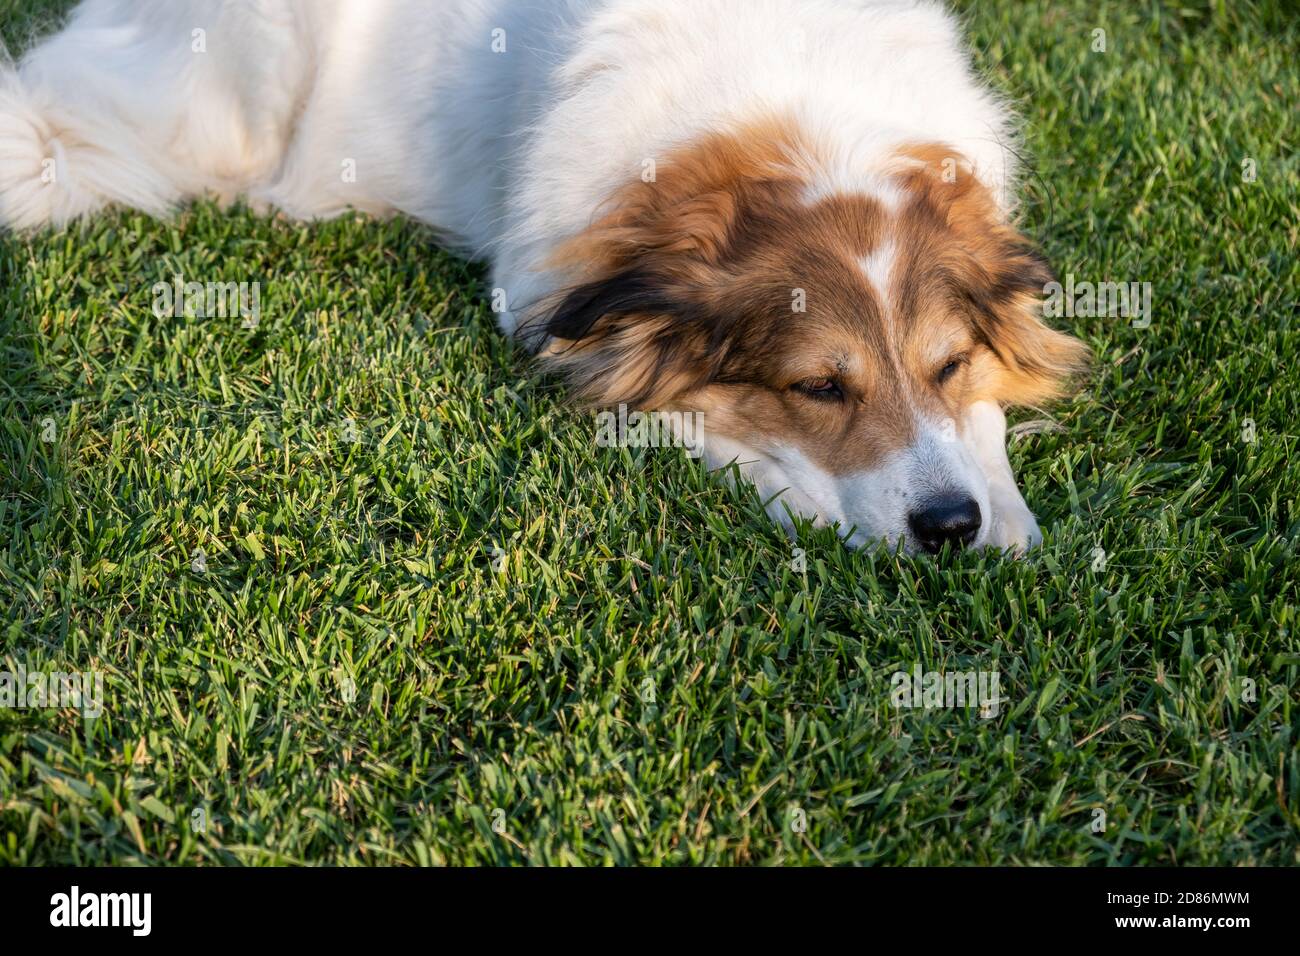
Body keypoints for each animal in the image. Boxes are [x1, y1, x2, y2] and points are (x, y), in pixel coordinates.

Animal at [0, 0, 1086, 554]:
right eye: (818, 387)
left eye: (947, 366)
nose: (947, 526)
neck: (798, 102)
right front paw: (814, 499)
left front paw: (1002, 505)